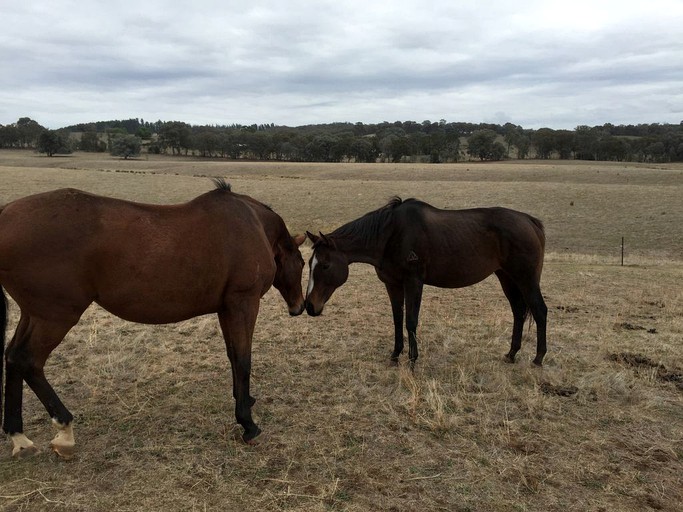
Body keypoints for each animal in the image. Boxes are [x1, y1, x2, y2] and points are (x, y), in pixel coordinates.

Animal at [0, 180, 304, 460]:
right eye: (302, 264)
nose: (299, 307)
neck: (252, 224)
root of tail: (6, 214)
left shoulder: (226, 309)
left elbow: (232, 356)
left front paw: (246, 401)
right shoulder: (243, 304)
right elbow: (243, 360)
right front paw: (248, 423)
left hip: (33, 314)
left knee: (12, 357)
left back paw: (19, 437)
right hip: (55, 317)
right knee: (27, 360)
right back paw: (64, 431)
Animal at [308, 196, 548, 368]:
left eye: (325, 265)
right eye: (310, 263)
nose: (310, 306)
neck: (391, 234)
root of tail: (530, 221)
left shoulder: (414, 282)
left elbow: (411, 321)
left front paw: (413, 359)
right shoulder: (392, 284)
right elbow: (397, 320)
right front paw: (395, 355)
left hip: (526, 279)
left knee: (539, 310)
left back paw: (538, 358)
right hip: (507, 278)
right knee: (518, 312)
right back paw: (511, 354)